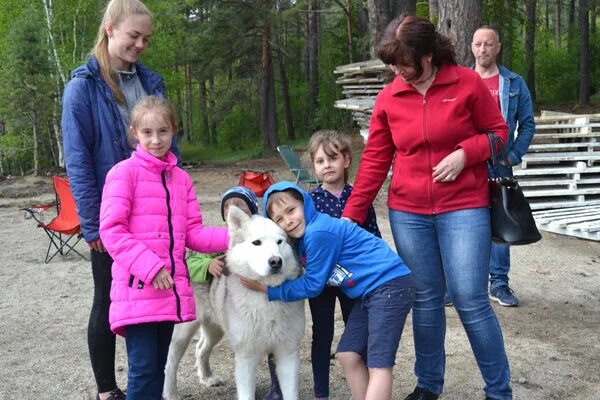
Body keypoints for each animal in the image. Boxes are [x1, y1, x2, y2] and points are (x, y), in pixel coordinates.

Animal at [163, 206, 304, 400]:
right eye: (257, 242)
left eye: (280, 242)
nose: (276, 261)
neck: (266, 295)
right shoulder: (246, 356)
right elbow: (246, 393)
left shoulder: (288, 353)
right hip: (182, 333)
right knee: (170, 361)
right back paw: (170, 392)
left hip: (214, 330)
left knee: (201, 348)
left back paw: (207, 377)